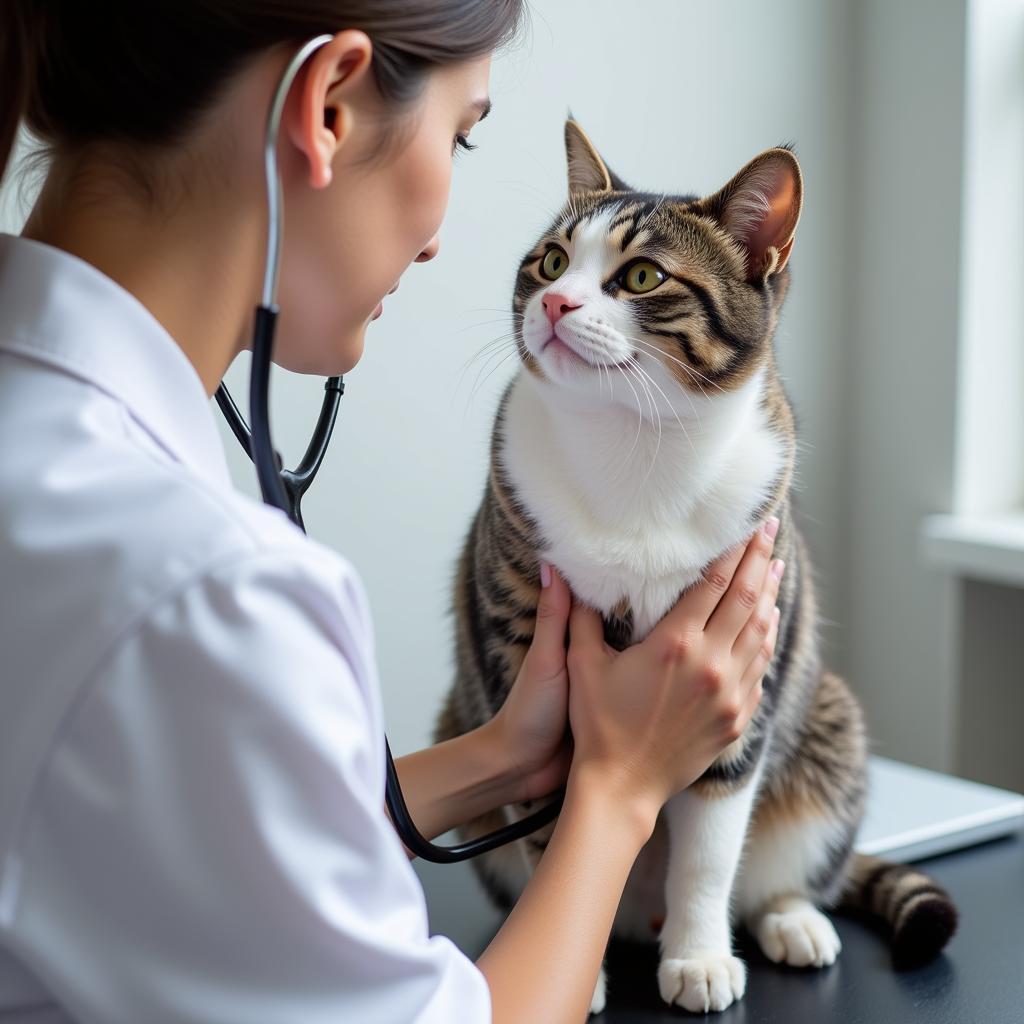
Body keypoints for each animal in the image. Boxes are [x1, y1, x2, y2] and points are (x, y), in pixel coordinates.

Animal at [434, 119, 958, 1015]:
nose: (555, 302)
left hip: (828, 724)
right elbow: (551, 826)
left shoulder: (750, 669)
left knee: (782, 867)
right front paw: (579, 975)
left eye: (641, 275)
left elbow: (712, 847)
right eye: (551, 260)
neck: (635, 445)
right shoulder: (521, 650)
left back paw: (791, 920)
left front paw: (700, 956)